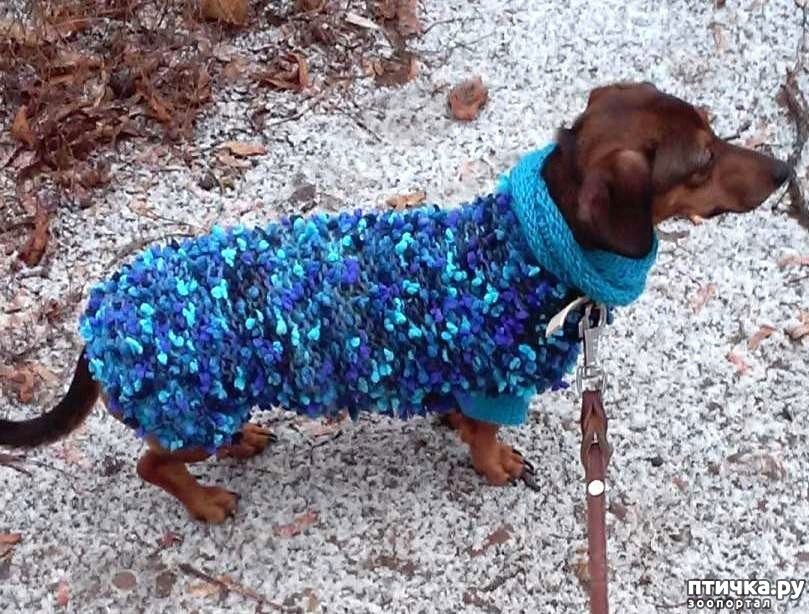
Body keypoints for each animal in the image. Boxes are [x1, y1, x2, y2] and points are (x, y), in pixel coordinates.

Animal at [0, 82, 790, 523]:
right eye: (703, 160)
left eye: (715, 134)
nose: (786, 170)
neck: (527, 244)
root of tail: (101, 316)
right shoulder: (493, 376)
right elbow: (486, 435)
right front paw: (496, 465)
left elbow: (459, 414)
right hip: (189, 406)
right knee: (153, 465)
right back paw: (206, 501)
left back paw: (241, 443)